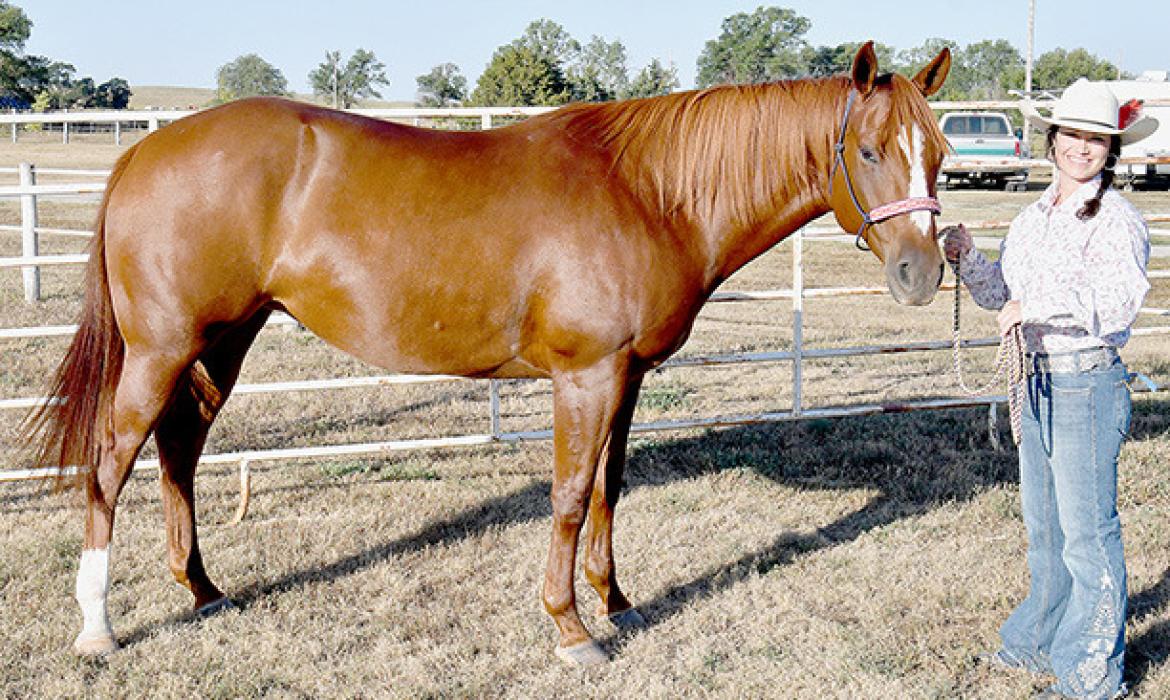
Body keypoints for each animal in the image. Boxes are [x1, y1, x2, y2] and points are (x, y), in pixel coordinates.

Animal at [25, 41, 950, 664]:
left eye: (940, 154)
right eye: (869, 150)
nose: (922, 273)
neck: (646, 191)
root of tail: (144, 149)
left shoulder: (626, 378)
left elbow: (610, 490)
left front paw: (618, 603)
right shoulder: (586, 376)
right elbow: (571, 498)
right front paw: (572, 629)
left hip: (223, 342)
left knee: (180, 448)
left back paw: (205, 591)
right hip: (160, 349)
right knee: (111, 462)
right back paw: (98, 627)